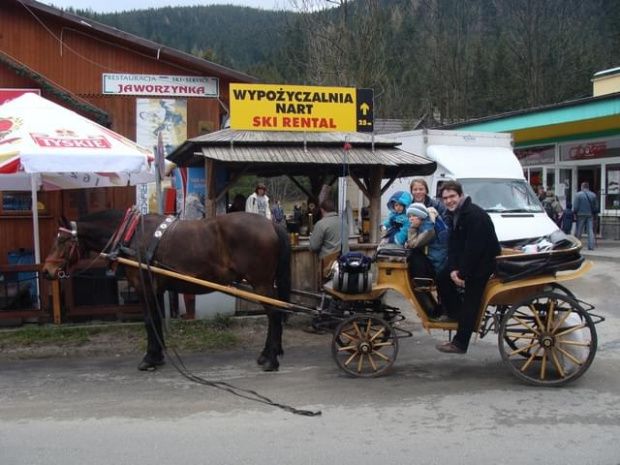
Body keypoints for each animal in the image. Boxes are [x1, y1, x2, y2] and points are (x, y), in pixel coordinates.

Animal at [43, 208, 290, 372]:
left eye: (63, 240)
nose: (46, 271)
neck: (132, 236)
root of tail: (271, 224)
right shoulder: (157, 289)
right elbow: (156, 320)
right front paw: (158, 355)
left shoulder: (143, 287)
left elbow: (148, 320)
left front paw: (149, 358)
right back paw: (268, 354)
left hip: (261, 283)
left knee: (274, 314)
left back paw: (270, 359)